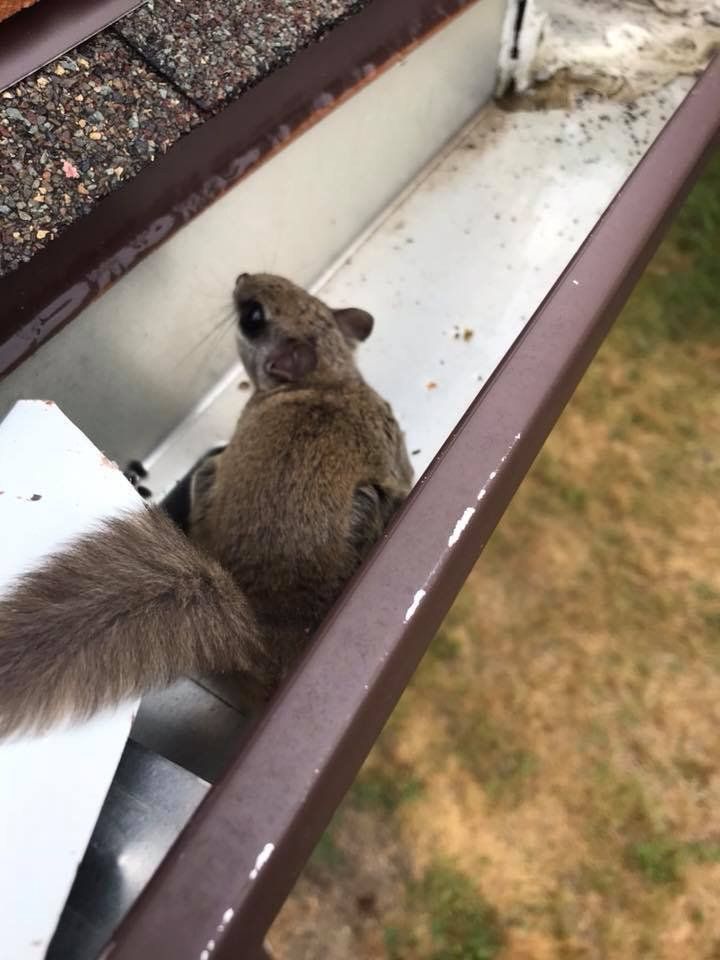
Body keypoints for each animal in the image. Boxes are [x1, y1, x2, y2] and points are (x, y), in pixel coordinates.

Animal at [0, 274, 413, 737]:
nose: (242, 277)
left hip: (211, 476)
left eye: (253, 317)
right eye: (301, 294)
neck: (326, 380)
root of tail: (260, 637)